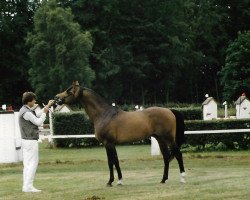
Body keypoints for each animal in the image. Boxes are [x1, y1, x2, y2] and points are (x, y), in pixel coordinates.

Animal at [54, 81, 186, 186]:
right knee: (166, 157)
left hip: (169, 138)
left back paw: (183, 178)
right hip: (160, 139)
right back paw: (163, 180)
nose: (56, 97)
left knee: (178, 154)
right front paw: (119, 180)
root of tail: (169, 110)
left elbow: (111, 161)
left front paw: (111, 181)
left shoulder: (108, 143)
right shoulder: (110, 144)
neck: (104, 114)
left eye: (69, 91)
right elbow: (115, 161)